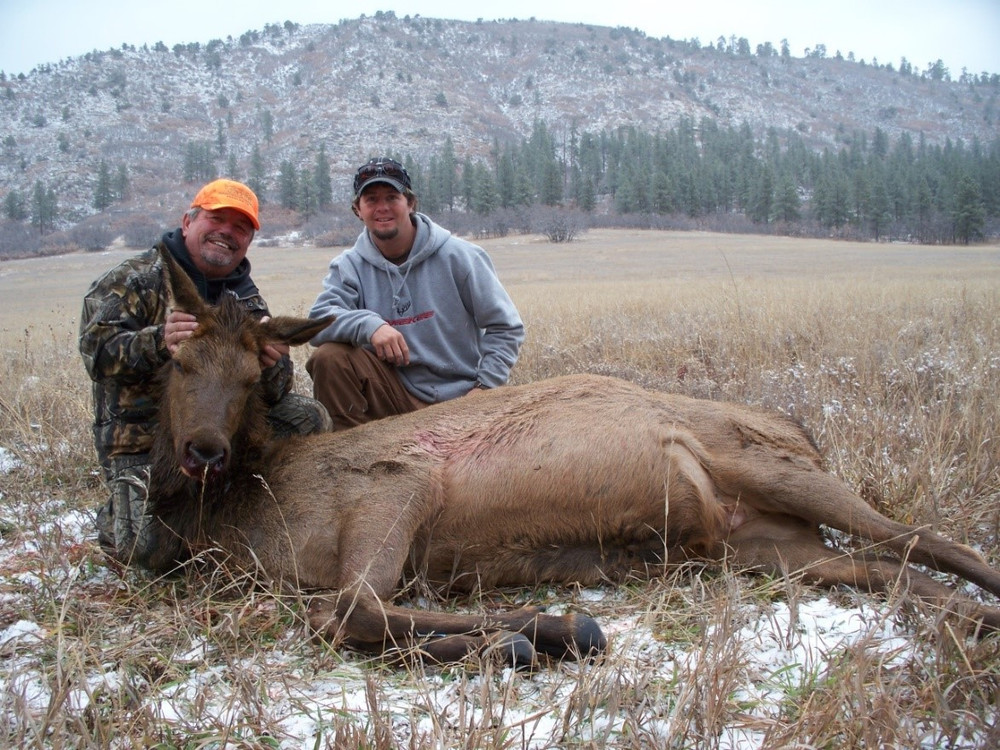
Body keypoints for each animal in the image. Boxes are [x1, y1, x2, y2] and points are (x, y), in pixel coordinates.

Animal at [143, 247, 1000, 668]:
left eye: (254, 375)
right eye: (176, 363)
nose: (203, 450)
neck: (256, 504)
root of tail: (800, 428)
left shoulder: (398, 483)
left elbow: (352, 608)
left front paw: (545, 627)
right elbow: (341, 615)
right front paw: (518, 637)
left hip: (771, 467)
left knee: (934, 541)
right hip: (764, 545)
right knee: (891, 570)